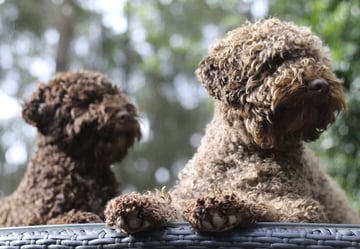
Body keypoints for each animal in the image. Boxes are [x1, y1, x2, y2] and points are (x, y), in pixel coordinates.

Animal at [0, 71, 141, 227]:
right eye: (87, 100)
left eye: (114, 94)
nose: (125, 115)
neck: (87, 171)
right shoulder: (33, 219)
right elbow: (55, 219)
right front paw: (78, 216)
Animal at [104, 18, 360, 233]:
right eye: (277, 59)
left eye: (318, 60)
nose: (321, 85)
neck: (242, 150)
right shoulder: (189, 193)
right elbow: (172, 204)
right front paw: (141, 205)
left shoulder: (304, 209)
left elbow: (268, 206)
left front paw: (224, 208)